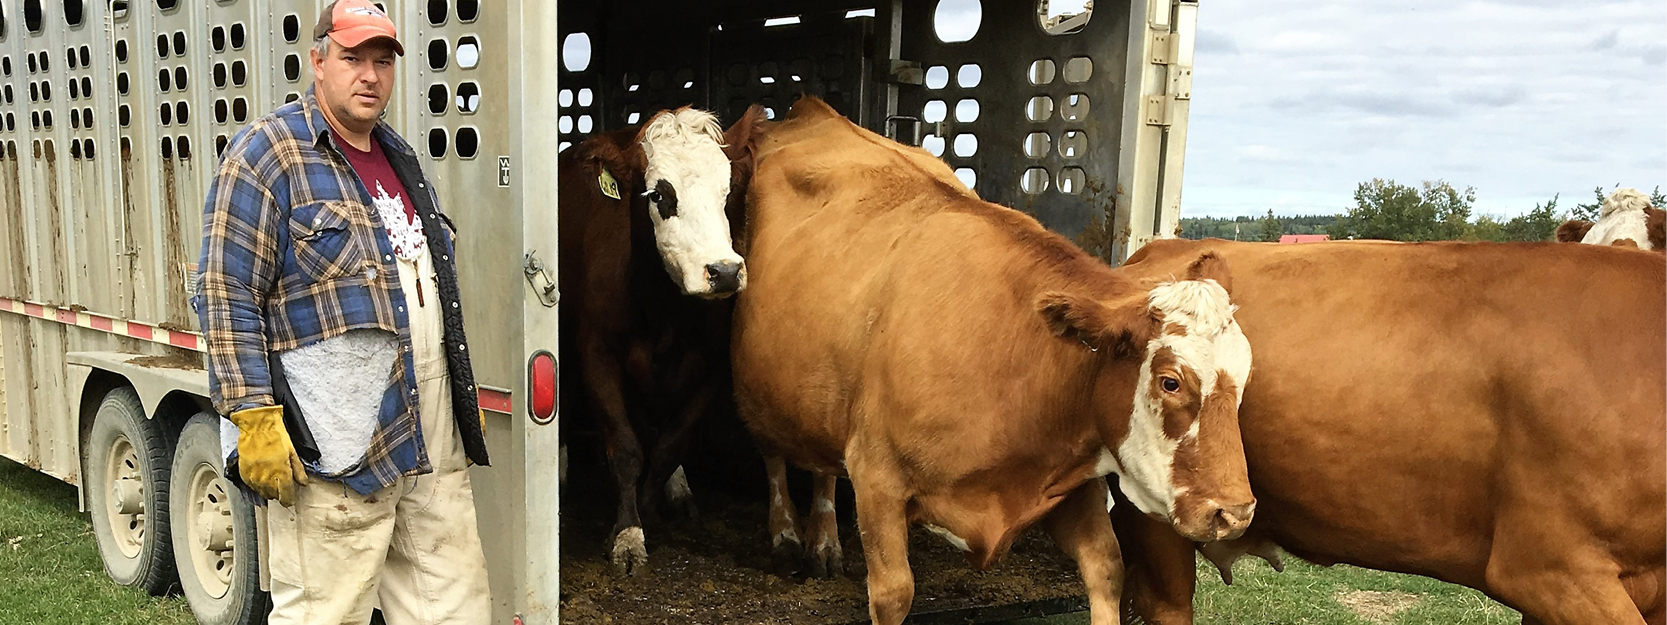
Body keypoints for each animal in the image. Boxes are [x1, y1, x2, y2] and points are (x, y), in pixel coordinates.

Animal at [560, 106, 766, 576]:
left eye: (728, 190)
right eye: (658, 195)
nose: (724, 271)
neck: (663, 311)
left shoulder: (712, 366)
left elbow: (669, 446)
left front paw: (650, 512)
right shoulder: (597, 354)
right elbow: (626, 447)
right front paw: (627, 534)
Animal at [730, 97, 1253, 625]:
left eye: (1244, 379)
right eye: (1171, 382)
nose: (1235, 513)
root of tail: (811, 112)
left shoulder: (1073, 483)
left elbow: (1106, 566)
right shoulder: (877, 479)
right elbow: (894, 593)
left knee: (821, 464)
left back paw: (823, 542)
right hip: (758, 388)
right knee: (774, 453)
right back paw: (788, 537)